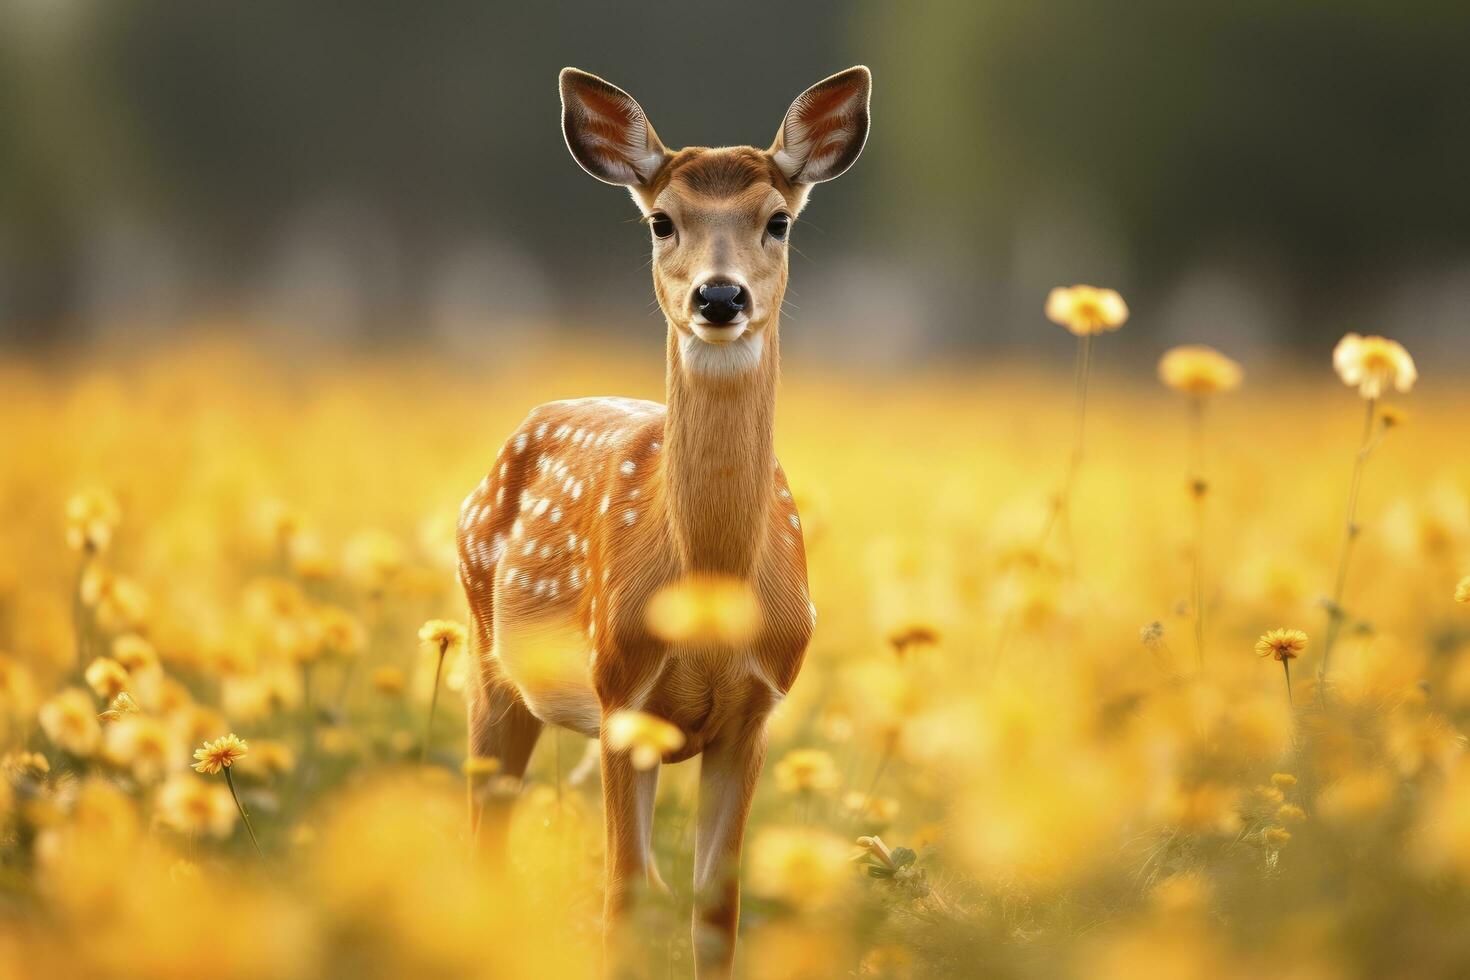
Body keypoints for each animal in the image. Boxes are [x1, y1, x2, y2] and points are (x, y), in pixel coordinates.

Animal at [458, 65, 864, 975]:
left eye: (778, 220)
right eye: (661, 220)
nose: (719, 294)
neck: (709, 601)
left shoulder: (755, 712)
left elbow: (717, 907)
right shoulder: (620, 695)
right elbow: (625, 896)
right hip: (489, 659)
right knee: (484, 831)